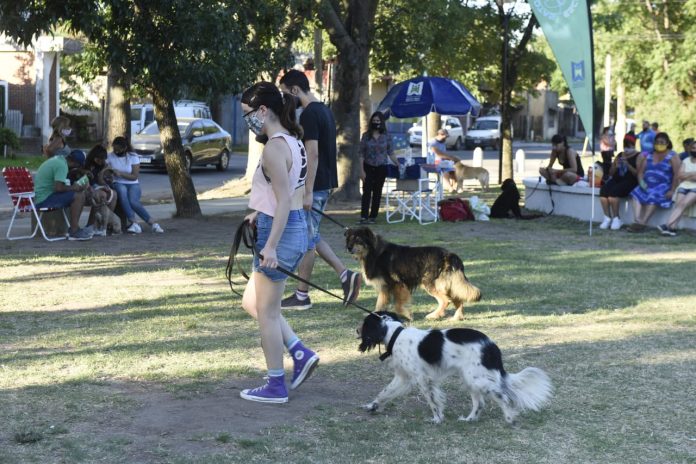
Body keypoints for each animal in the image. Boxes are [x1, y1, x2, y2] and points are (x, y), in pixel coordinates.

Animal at [346, 227, 482, 320]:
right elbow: (380, 303)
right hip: (448, 284)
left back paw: (434, 315)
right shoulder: (387, 287)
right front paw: (375, 313)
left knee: (445, 300)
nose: (348, 248)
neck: (374, 252)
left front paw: (406, 315)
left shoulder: (395, 284)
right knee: (457, 299)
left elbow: (396, 304)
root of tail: (449, 255)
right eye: (349, 239)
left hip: (429, 283)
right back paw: (456, 317)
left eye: (358, 239)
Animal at [356, 312, 552, 424]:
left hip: (476, 379)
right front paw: (372, 406)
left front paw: (437, 419)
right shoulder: (403, 377)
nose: (356, 331)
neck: (395, 334)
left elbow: (432, 402)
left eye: (363, 325)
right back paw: (470, 419)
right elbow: (384, 392)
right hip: (469, 378)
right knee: (480, 403)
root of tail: (491, 346)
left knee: (502, 396)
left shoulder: (422, 379)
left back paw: (510, 419)